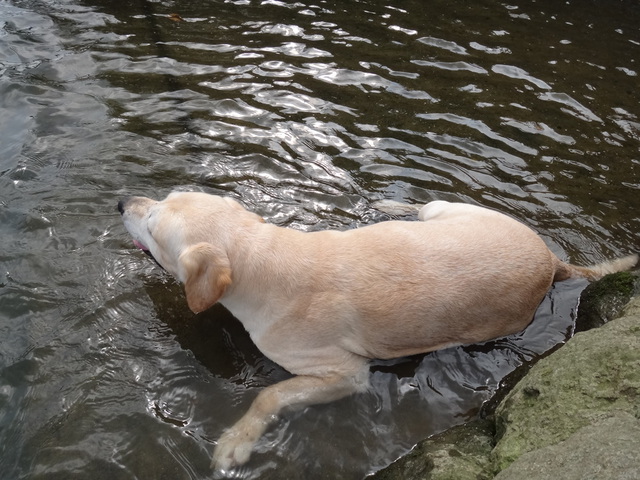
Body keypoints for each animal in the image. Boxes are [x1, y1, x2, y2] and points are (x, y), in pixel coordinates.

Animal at [119, 191, 636, 468]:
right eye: (159, 201)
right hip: (449, 211)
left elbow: (269, 396)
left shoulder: (344, 374)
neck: (264, 255)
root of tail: (551, 259)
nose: (122, 201)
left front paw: (235, 444)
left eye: (153, 223)